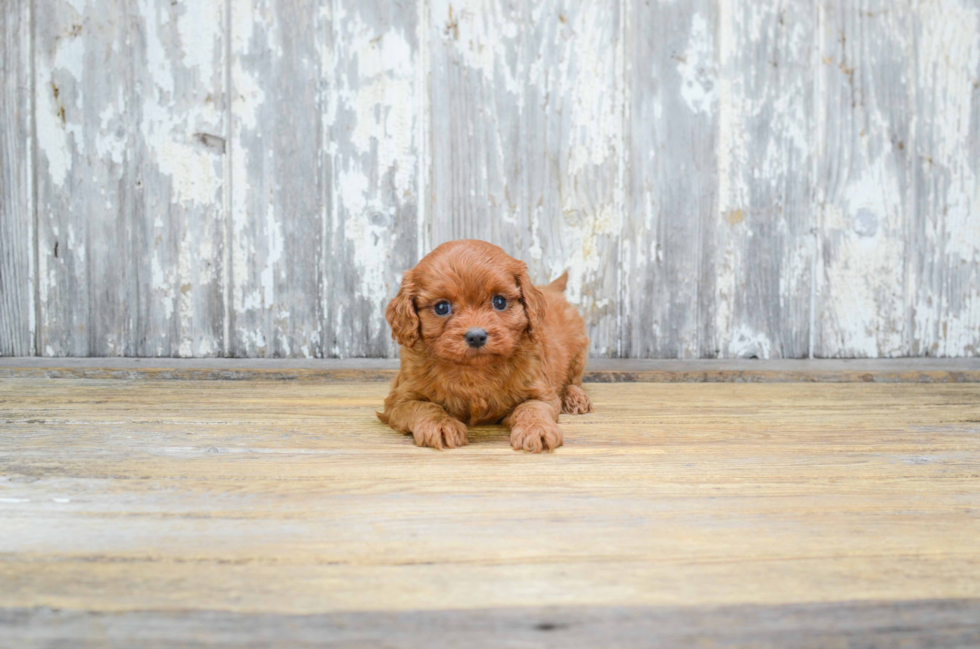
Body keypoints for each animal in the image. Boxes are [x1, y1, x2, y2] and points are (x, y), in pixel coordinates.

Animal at [376, 238, 588, 450]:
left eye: (500, 301)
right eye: (441, 307)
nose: (476, 336)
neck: (475, 370)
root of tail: (550, 289)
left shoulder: (540, 390)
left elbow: (533, 407)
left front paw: (537, 428)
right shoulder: (400, 398)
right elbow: (424, 406)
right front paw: (440, 426)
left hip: (579, 350)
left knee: (574, 380)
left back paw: (575, 397)